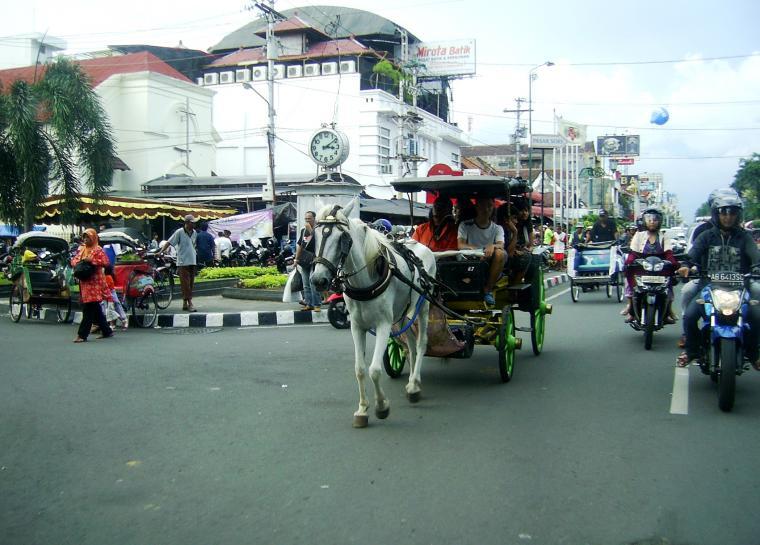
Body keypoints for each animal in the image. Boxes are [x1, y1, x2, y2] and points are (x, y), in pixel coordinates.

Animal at [310, 198, 434, 428]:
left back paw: (414, 385)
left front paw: (382, 407)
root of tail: (418, 245)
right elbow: (359, 369)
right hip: (401, 313)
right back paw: (411, 382)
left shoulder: (384, 324)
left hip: (423, 306)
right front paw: (362, 409)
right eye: (315, 235)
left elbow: (374, 370)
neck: (364, 281)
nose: (319, 280)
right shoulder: (356, 326)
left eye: (342, 238)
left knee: (421, 343)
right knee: (411, 344)